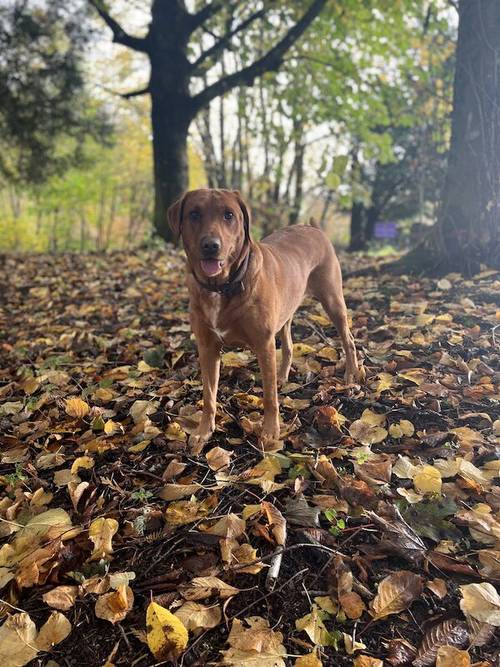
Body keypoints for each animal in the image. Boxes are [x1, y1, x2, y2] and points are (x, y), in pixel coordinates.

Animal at [170, 188, 362, 448]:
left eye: (229, 215)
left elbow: (269, 395)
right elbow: (209, 395)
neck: (222, 286)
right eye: (194, 213)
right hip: (286, 309)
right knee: (288, 343)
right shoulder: (207, 347)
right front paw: (203, 430)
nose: (211, 245)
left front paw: (271, 431)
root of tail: (314, 228)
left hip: (332, 300)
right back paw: (282, 376)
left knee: (348, 339)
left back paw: (351, 375)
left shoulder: (264, 344)